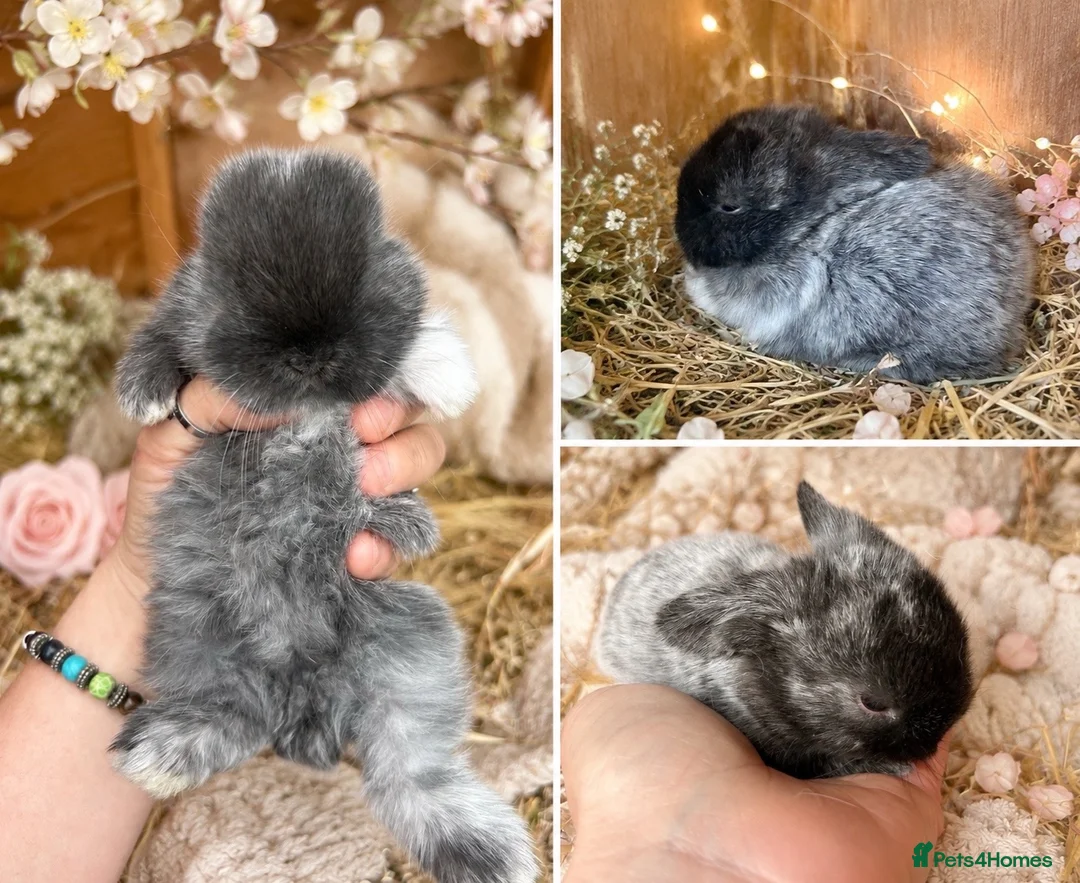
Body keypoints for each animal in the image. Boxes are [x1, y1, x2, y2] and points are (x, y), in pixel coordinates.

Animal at [112, 149, 537, 883]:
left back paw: (492, 852)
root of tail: (302, 699)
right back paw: (161, 757)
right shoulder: (182, 308)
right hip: (191, 630)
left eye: (364, 275)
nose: (308, 351)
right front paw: (141, 393)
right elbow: (161, 335)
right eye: (233, 285)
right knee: (228, 713)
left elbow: (410, 338)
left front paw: (449, 376)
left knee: (406, 774)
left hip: (413, 646)